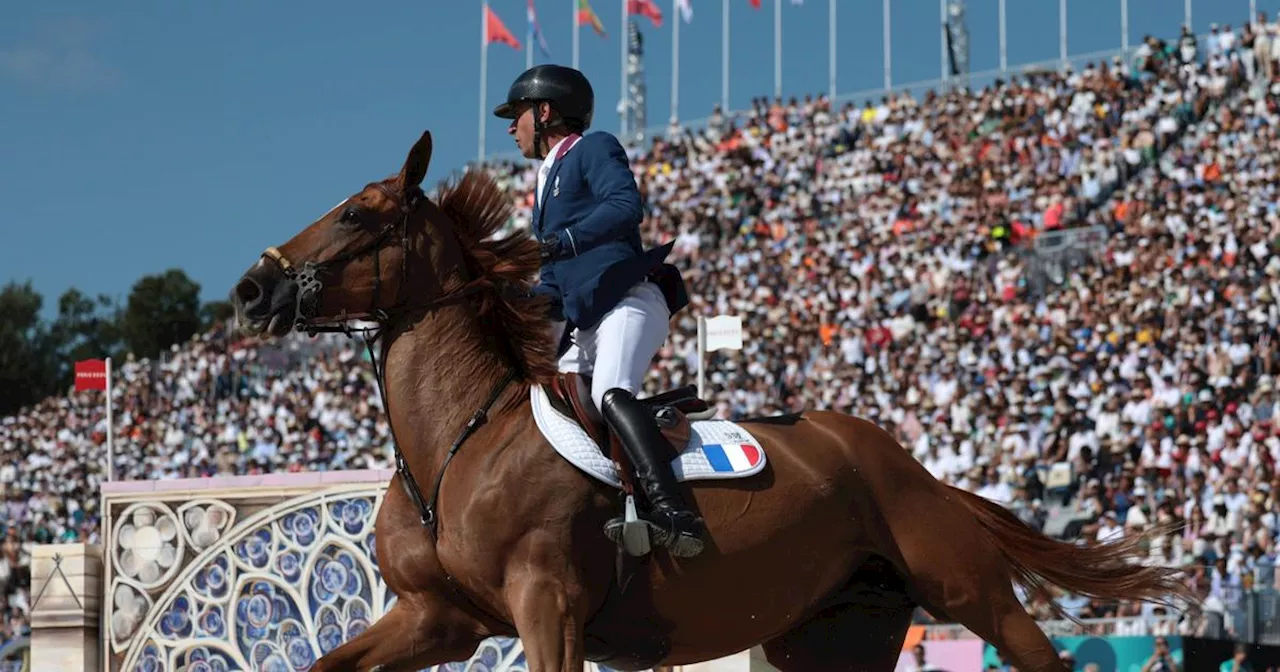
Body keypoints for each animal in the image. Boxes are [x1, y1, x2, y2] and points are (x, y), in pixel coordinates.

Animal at [227, 131, 1187, 670]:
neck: (456, 443)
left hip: (969, 593)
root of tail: (907, 464)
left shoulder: (547, 605)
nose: (249, 289)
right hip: (836, 634)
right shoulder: (438, 621)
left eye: (357, 215)